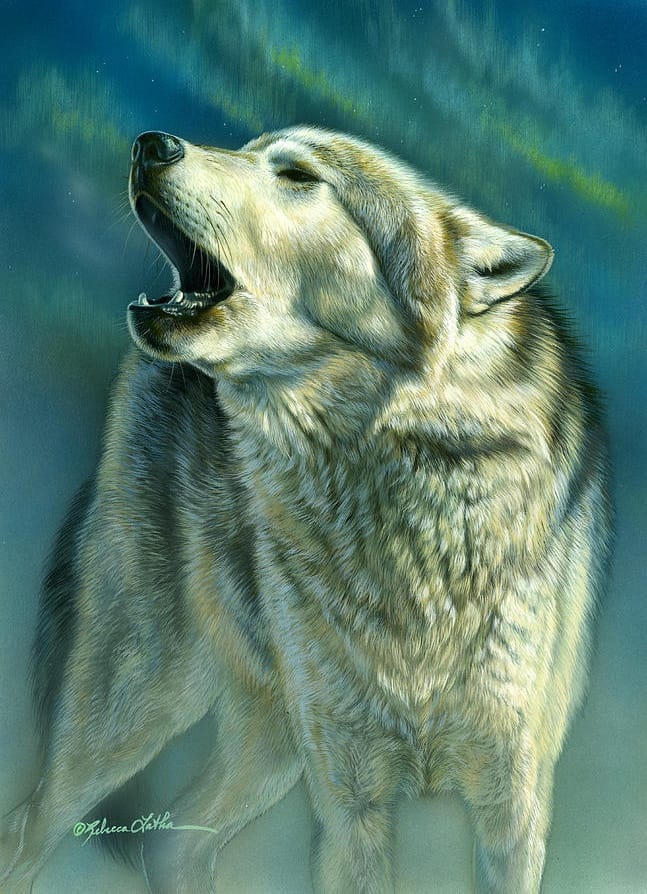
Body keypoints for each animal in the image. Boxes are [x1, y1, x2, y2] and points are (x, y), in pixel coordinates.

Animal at [1, 127, 610, 893]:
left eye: (297, 175)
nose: (151, 142)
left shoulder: (513, 812)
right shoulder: (350, 805)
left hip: (266, 739)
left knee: (171, 841)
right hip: (141, 701)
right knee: (33, 825)